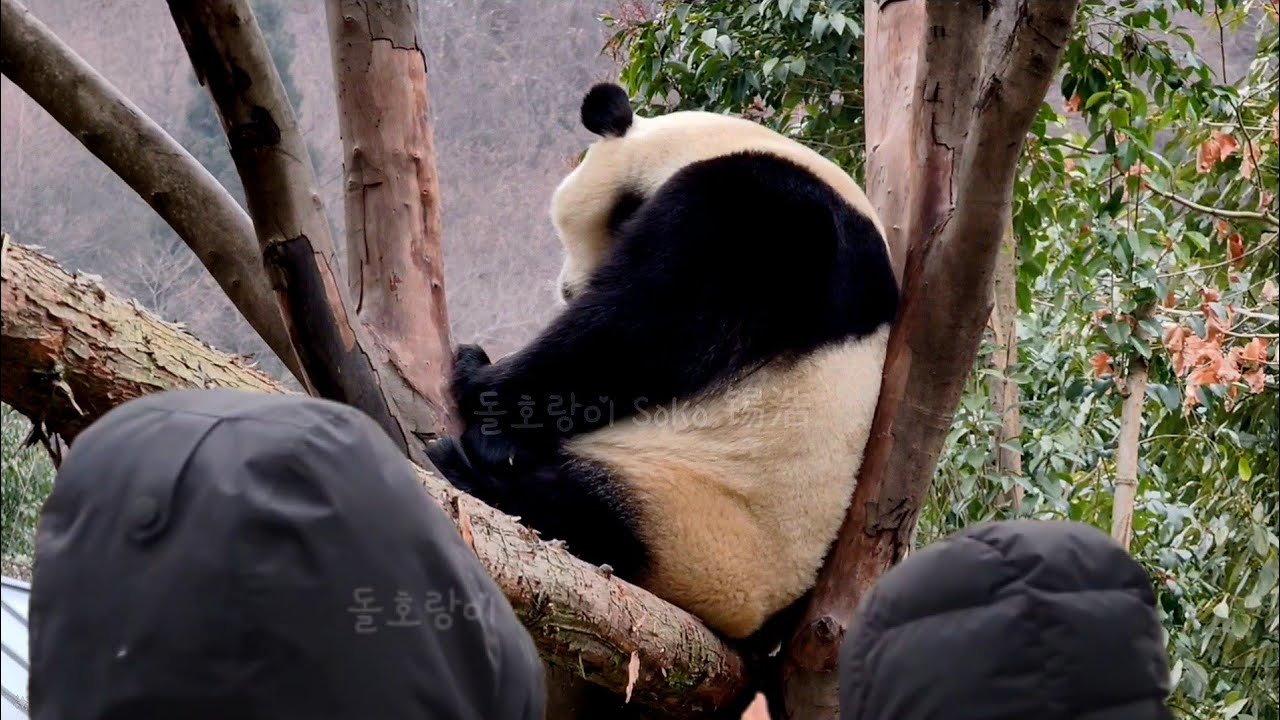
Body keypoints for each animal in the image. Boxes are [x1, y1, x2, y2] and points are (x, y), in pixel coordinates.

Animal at [427, 82, 898, 641]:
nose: (566, 290)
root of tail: (746, 616)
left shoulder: (757, 213)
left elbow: (645, 326)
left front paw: (479, 376)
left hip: (689, 512)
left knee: (585, 512)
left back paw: (471, 466)